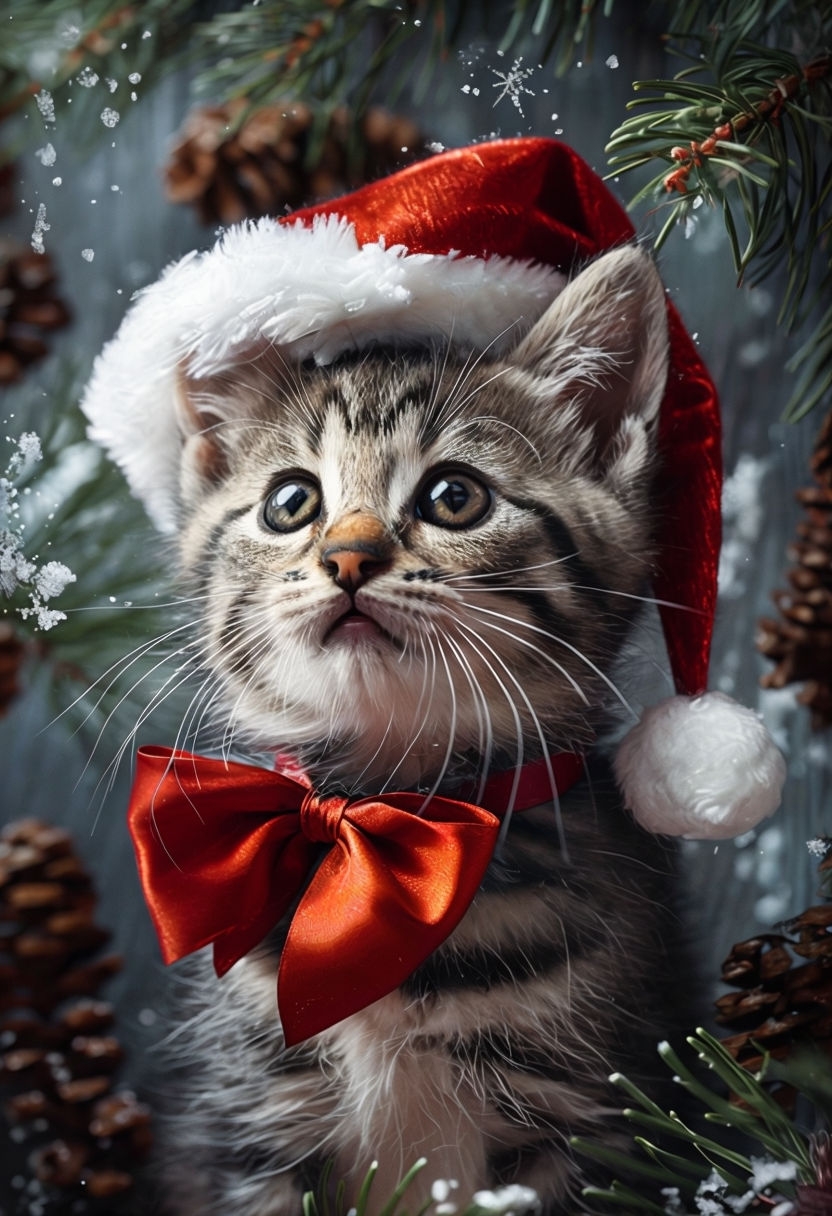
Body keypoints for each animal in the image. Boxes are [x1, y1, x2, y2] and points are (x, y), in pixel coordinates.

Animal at [150, 241, 681, 1211]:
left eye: (454, 496)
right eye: (291, 503)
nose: (347, 557)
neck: (382, 816)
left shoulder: (587, 1128)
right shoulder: (252, 1125)